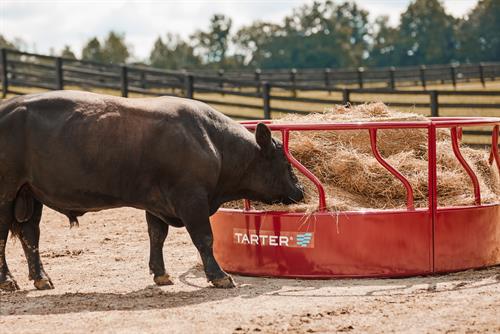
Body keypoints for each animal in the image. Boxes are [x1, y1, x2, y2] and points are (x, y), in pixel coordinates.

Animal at [0, 90, 302, 290]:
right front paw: (219, 276)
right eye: (284, 160)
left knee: (30, 235)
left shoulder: (156, 202)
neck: (212, 142)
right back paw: (8, 280)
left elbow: (157, 235)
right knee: (4, 236)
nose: (299, 191)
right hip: (6, 193)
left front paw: (161, 273)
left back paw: (41, 278)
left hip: (29, 193)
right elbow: (204, 237)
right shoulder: (191, 199)